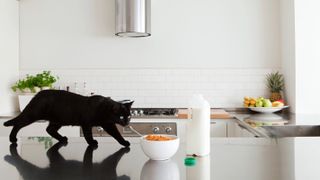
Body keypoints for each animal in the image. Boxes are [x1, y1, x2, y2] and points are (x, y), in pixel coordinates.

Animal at [2, 90, 132, 147]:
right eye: (121, 116)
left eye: (129, 116)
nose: (126, 122)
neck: (103, 108)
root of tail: (37, 94)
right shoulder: (86, 124)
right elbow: (88, 135)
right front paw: (92, 142)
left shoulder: (108, 124)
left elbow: (117, 134)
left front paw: (124, 142)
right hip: (32, 115)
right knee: (18, 124)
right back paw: (12, 139)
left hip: (58, 120)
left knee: (49, 129)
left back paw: (62, 139)